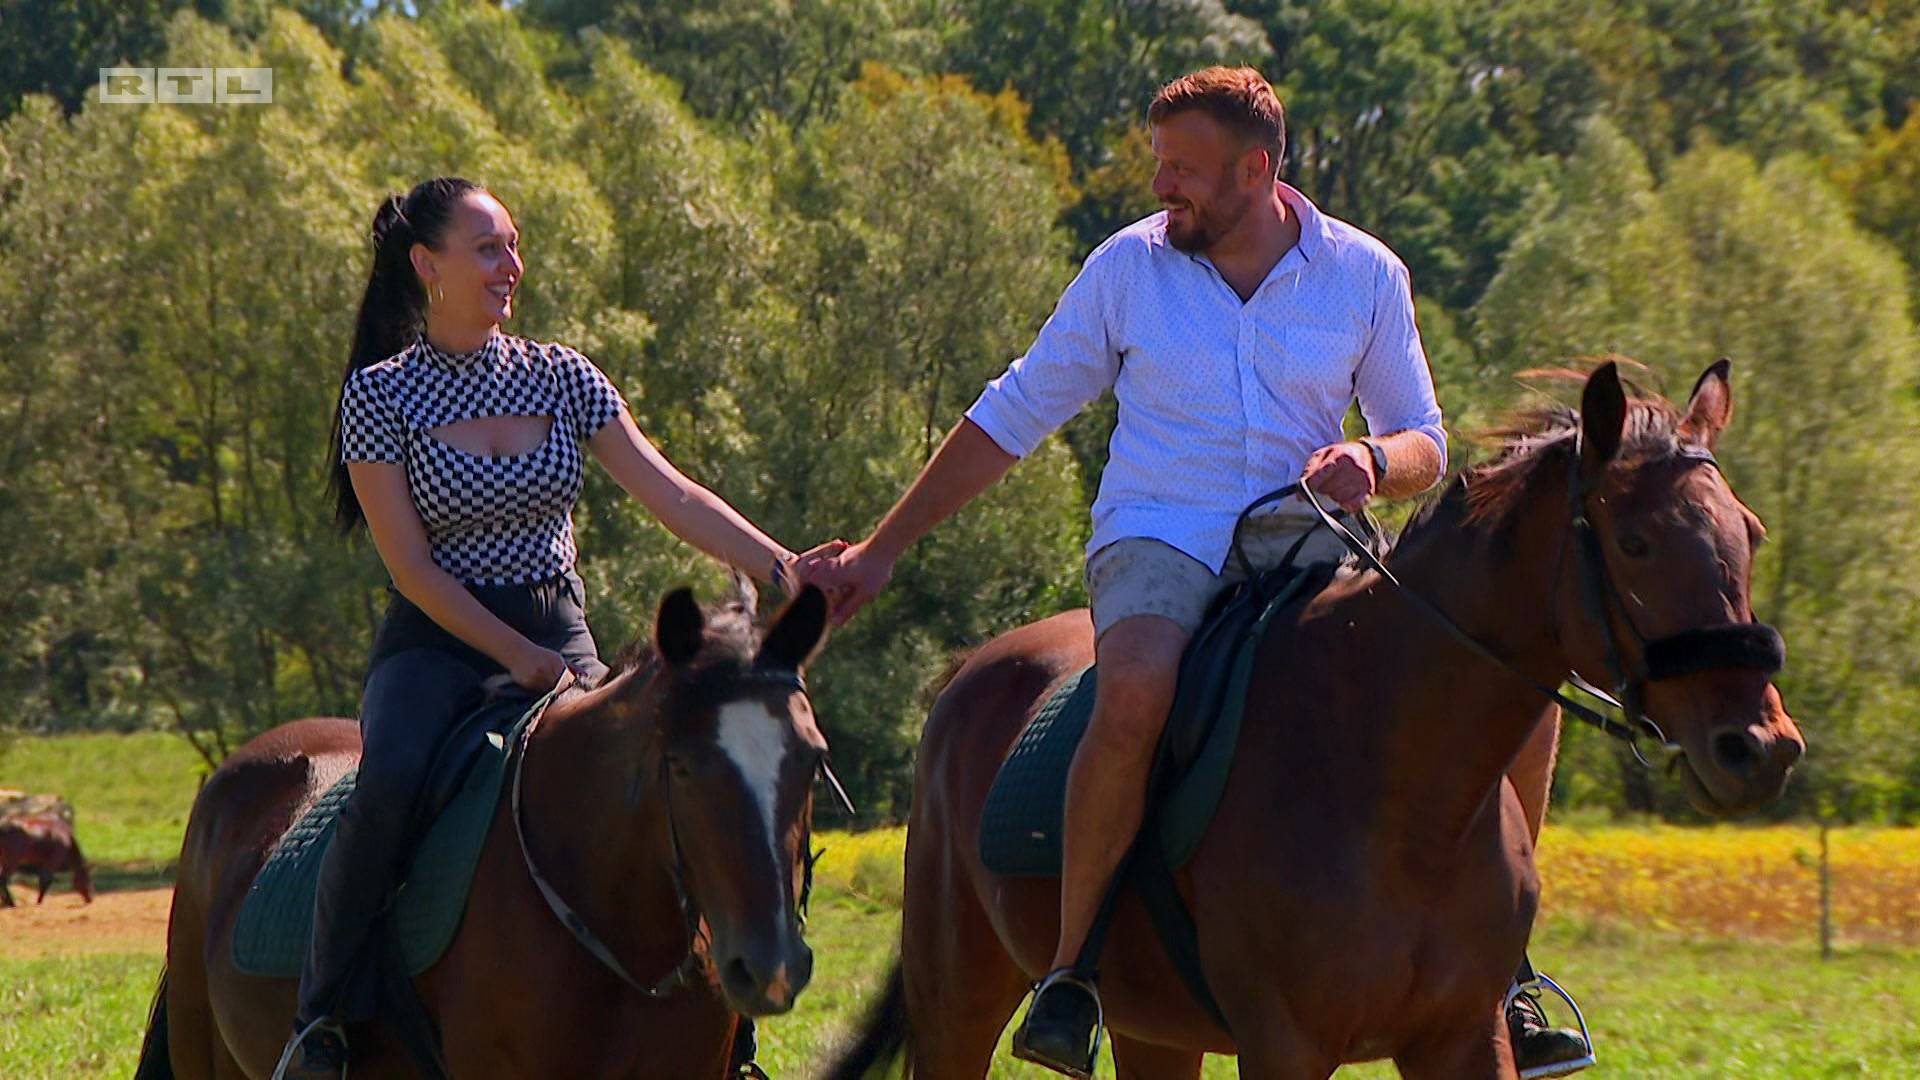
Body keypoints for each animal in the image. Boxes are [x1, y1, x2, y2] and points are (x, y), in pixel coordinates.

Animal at [833, 363, 1804, 1076]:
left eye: (1750, 533)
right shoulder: (1287, 1047)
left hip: (1153, 1028)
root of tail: (970, 670)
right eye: (1635, 543)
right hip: (959, 1001)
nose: (1758, 748)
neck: (1404, 797)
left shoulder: (1461, 1039)